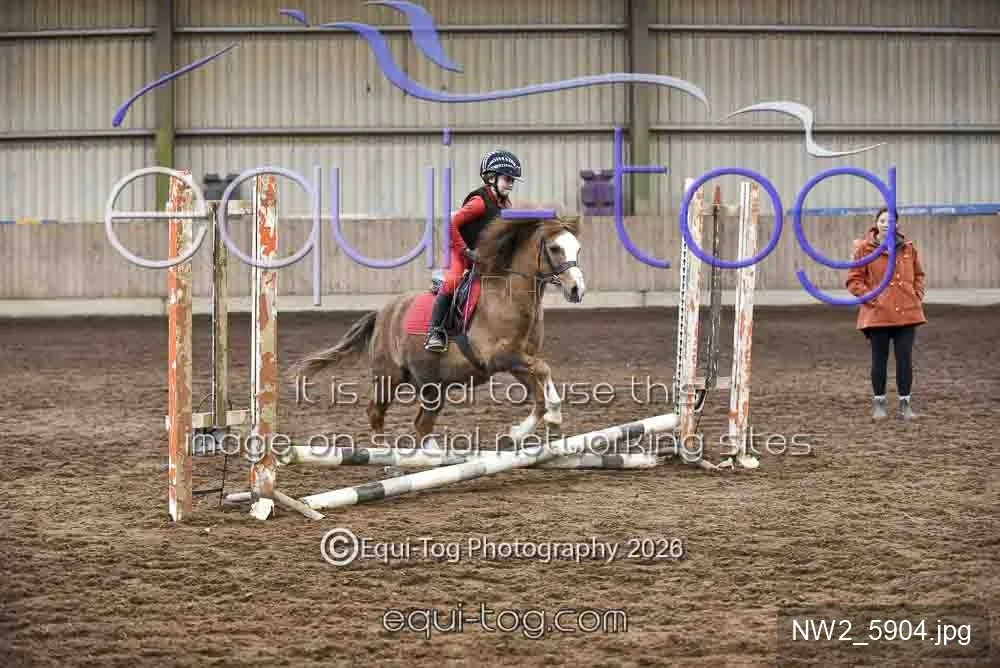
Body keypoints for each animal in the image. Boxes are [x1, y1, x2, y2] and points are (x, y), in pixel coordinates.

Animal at [292, 207, 586, 453]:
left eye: (578, 249)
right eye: (555, 248)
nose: (577, 290)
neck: (507, 298)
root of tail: (383, 313)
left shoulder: (517, 362)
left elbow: (540, 391)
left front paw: (518, 433)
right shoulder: (499, 357)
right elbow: (544, 370)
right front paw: (553, 416)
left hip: (433, 385)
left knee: (422, 423)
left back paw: (431, 456)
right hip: (389, 376)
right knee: (376, 413)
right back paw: (388, 456)